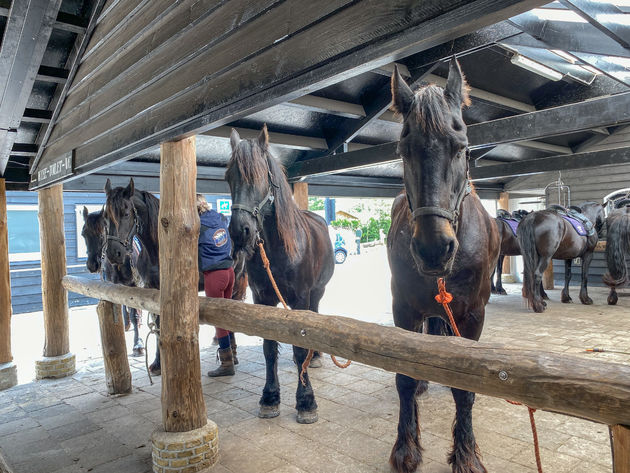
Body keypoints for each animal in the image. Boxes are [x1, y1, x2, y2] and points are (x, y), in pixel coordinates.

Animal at [81, 205, 145, 356]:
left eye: (102, 233)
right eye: (83, 234)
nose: (92, 265)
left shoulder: (135, 285)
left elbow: (135, 313)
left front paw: (138, 344)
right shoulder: (113, 286)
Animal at [227, 125, 336, 424]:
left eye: (259, 176)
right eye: (228, 178)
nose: (239, 231)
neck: (280, 250)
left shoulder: (299, 299)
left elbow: (299, 348)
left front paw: (306, 402)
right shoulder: (262, 299)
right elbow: (269, 347)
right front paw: (269, 398)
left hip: (317, 293)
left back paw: (315, 356)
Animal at [388, 59, 502, 472]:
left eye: (461, 147)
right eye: (404, 149)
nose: (434, 250)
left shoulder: (472, 315)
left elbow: (464, 389)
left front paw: (466, 454)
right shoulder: (403, 309)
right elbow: (404, 378)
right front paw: (406, 448)